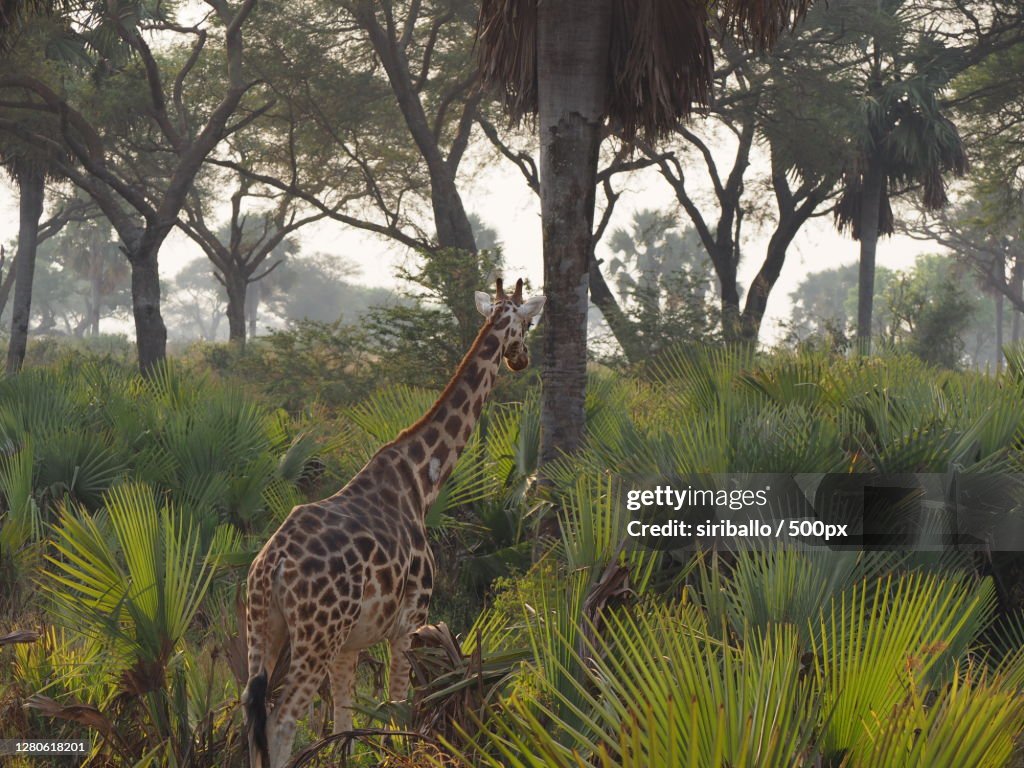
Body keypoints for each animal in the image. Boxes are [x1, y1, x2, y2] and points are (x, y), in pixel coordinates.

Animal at [242, 278, 545, 768]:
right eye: (529, 322)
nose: (522, 359)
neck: (421, 480)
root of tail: (274, 567)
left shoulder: (348, 645)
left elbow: (344, 727)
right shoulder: (411, 619)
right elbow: (398, 709)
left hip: (262, 628)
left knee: (252, 718)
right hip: (314, 635)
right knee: (282, 721)